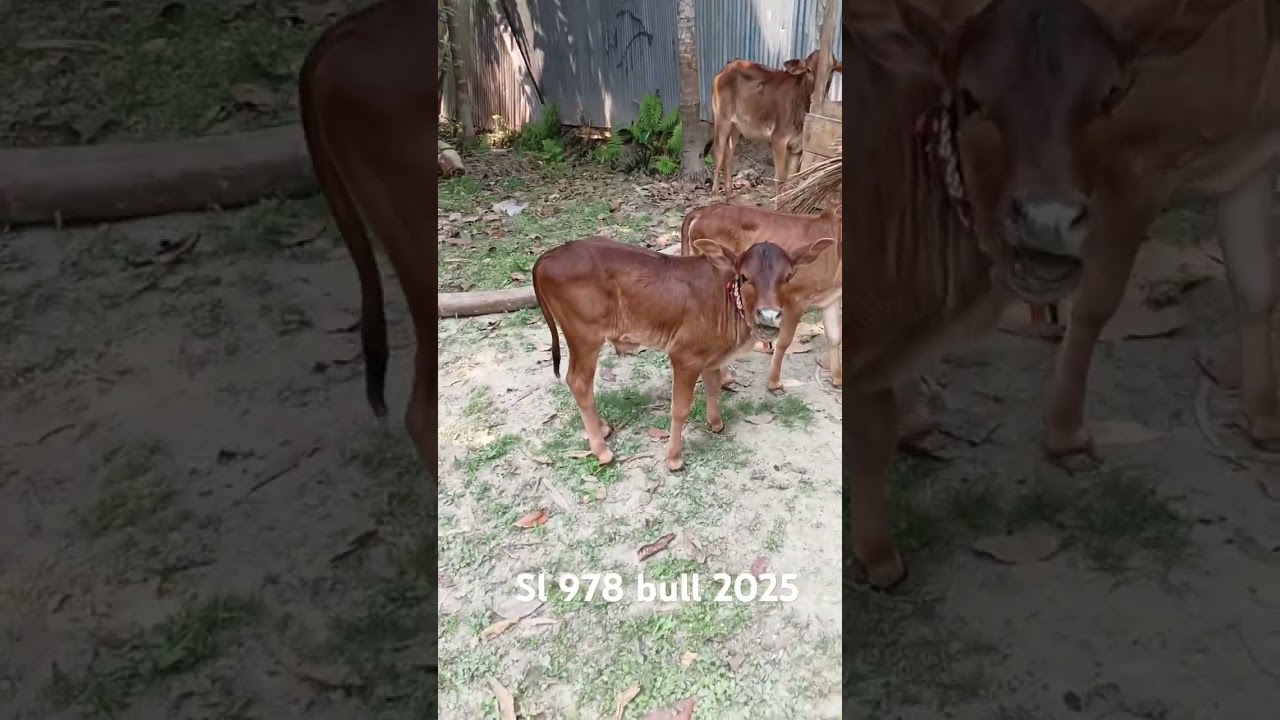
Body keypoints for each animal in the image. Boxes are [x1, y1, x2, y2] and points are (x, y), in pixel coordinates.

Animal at [531, 235, 834, 473]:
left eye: (789, 276)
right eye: (744, 277)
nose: (769, 316)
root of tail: (547, 256)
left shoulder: (712, 356)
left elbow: (713, 386)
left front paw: (716, 423)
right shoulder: (684, 357)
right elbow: (680, 409)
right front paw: (674, 458)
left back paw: (603, 428)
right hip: (584, 337)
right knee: (578, 382)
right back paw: (602, 450)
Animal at [704, 50, 842, 200]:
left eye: (832, 70)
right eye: (809, 70)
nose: (818, 96)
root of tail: (727, 67)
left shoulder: (797, 146)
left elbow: (791, 179)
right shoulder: (778, 139)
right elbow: (780, 178)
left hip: (736, 126)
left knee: (728, 154)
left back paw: (729, 193)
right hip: (722, 118)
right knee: (718, 151)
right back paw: (714, 194)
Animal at [898, 0, 1279, 462]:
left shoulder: (1248, 159)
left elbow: (1257, 288)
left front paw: (1265, 419)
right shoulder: (1134, 168)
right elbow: (1097, 301)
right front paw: (1066, 431)